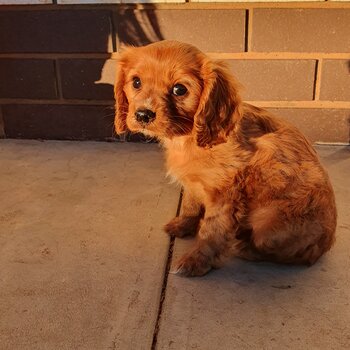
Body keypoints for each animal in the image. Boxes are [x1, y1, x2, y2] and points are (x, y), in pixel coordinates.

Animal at [114, 40, 336, 276]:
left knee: (292, 255)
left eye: (179, 89)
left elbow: (212, 231)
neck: (188, 138)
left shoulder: (224, 194)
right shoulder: (193, 183)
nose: (143, 115)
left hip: (267, 225)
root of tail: (325, 246)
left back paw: (245, 247)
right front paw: (183, 225)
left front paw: (195, 261)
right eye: (136, 82)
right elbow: (190, 204)